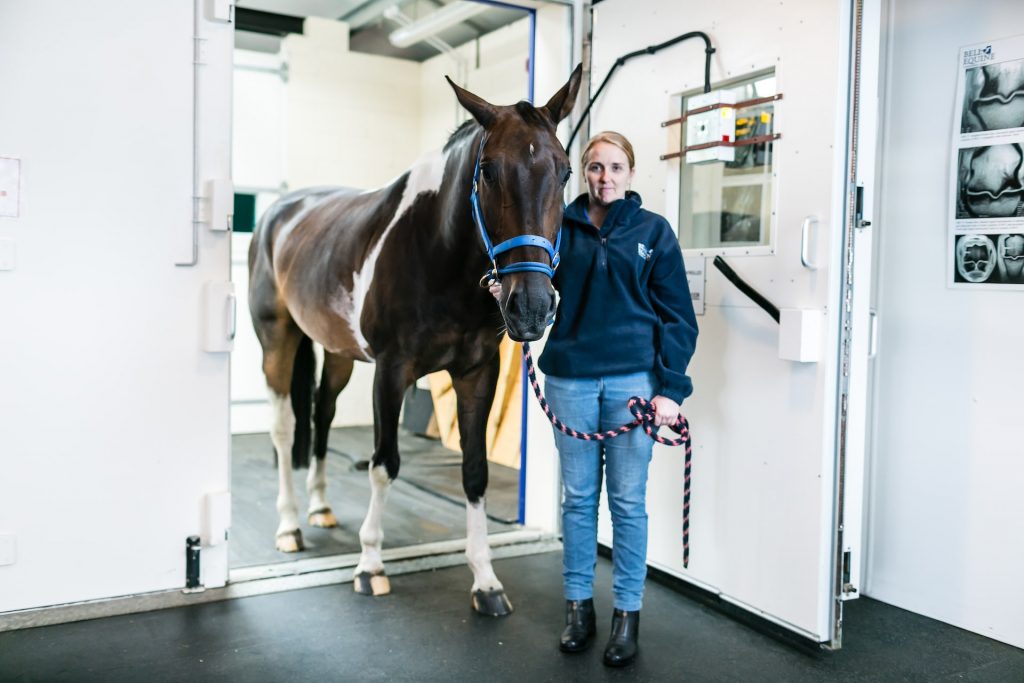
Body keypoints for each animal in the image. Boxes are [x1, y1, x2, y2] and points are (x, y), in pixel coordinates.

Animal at [247, 66, 581, 618]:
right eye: (488, 171)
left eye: (565, 171)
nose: (532, 307)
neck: (438, 251)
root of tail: (282, 211)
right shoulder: (391, 371)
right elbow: (384, 465)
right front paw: (370, 566)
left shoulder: (477, 373)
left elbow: (475, 471)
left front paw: (485, 581)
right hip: (277, 338)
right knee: (282, 427)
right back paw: (290, 524)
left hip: (337, 353)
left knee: (321, 415)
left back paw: (319, 507)